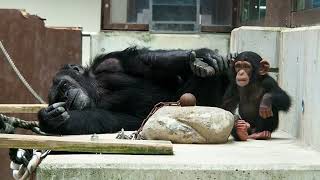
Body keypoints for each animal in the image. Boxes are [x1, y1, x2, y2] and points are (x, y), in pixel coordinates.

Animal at [38, 47, 231, 134]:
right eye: (59, 98)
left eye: (64, 86)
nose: (67, 96)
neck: (95, 90)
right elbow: (108, 119)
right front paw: (49, 119)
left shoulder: (109, 63)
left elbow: (145, 61)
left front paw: (204, 54)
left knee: (206, 74)